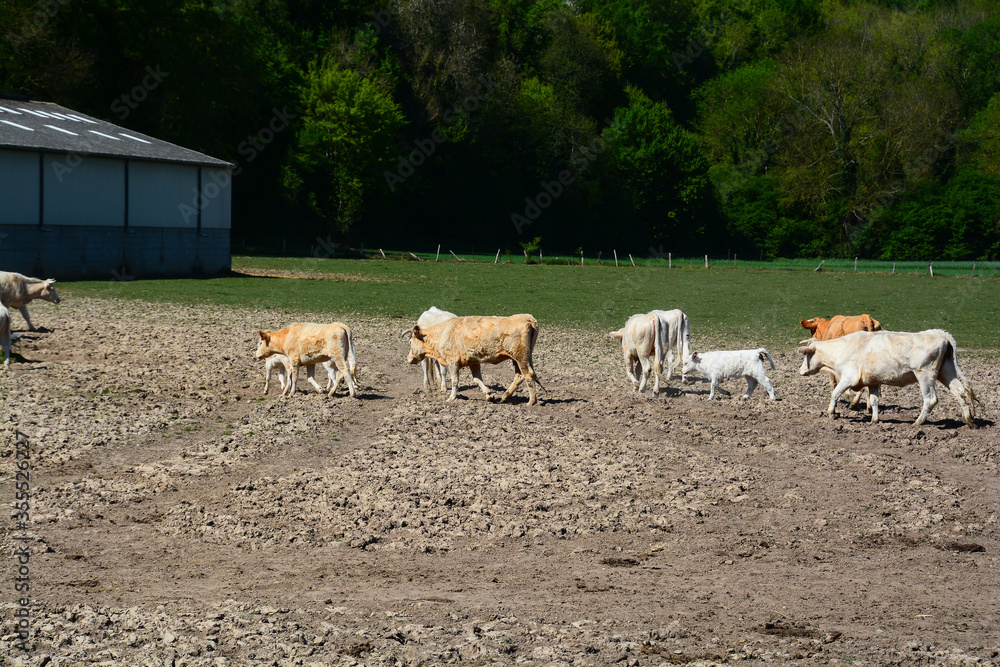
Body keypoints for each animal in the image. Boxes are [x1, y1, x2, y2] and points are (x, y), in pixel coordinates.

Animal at [406, 314, 541, 405]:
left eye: (410, 342)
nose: (408, 359)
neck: (443, 333)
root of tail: (528, 318)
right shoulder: (473, 362)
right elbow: (477, 379)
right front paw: (489, 395)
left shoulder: (453, 362)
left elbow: (455, 381)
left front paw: (451, 398)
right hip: (521, 358)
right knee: (520, 375)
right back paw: (505, 397)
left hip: (520, 356)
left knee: (528, 374)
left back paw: (532, 401)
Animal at [796, 329, 978, 427]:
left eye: (805, 355)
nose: (800, 370)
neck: (842, 348)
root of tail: (941, 334)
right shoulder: (873, 382)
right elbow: (874, 400)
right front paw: (875, 419)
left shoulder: (848, 378)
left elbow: (835, 393)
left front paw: (831, 413)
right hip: (946, 373)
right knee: (961, 393)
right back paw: (968, 421)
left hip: (925, 375)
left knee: (930, 399)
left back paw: (918, 422)